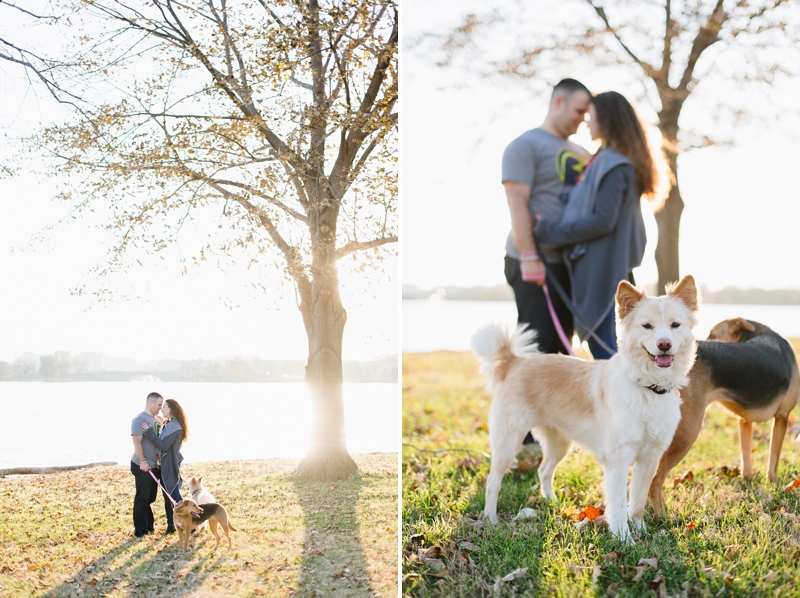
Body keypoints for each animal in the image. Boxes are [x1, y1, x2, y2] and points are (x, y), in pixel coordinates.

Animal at [476, 276, 700, 544]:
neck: (647, 387)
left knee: (543, 471)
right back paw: (490, 518)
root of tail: (516, 362)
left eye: (675, 325)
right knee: (493, 481)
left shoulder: (650, 458)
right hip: (509, 442)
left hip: (560, 444)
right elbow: (619, 505)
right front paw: (625, 539)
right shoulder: (618, 461)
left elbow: (637, 501)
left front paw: (640, 530)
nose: (664, 344)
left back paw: (552, 503)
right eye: (647, 326)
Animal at [648, 318, 800, 516]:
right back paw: (662, 516)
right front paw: (774, 486)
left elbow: (746, 462)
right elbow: (773, 464)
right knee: (655, 482)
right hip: (686, 433)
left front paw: (749, 483)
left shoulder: (745, 420)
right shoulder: (782, 417)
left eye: (713, 335)